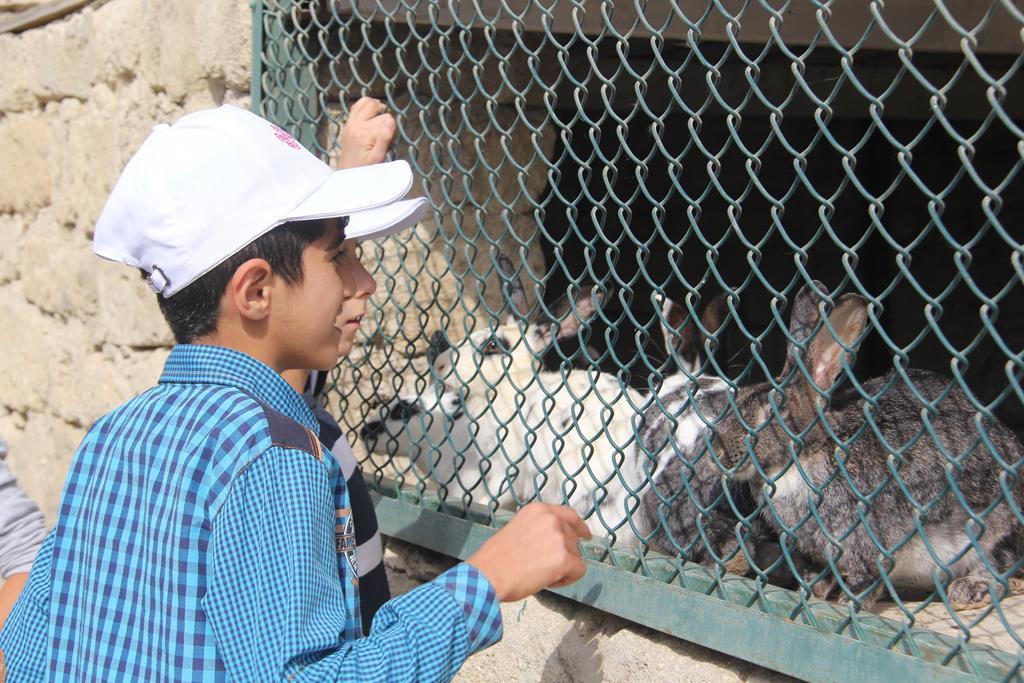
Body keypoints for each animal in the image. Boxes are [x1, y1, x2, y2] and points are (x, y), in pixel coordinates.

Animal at [712, 280, 1024, 610]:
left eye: (773, 412)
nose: (718, 452)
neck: (809, 452)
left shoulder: (869, 542)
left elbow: (869, 575)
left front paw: (848, 602)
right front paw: (819, 587)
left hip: (989, 526)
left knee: (1001, 562)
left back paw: (969, 590)